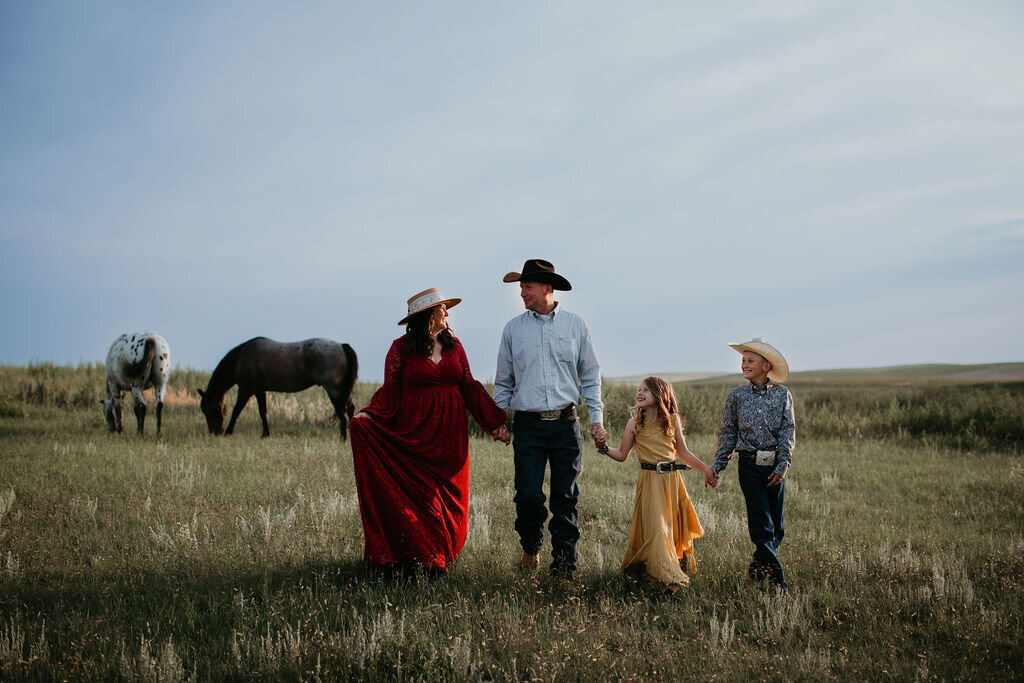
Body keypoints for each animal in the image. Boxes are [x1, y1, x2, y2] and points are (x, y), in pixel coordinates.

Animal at [197, 337, 358, 444]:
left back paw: (342, 439)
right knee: (350, 410)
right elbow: (263, 412)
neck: (241, 358)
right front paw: (265, 434)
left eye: (208, 409)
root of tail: (342, 346)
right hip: (344, 391)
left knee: (342, 414)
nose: (215, 432)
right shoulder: (260, 391)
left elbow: (237, 410)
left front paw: (229, 432)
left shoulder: (245, 390)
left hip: (334, 390)